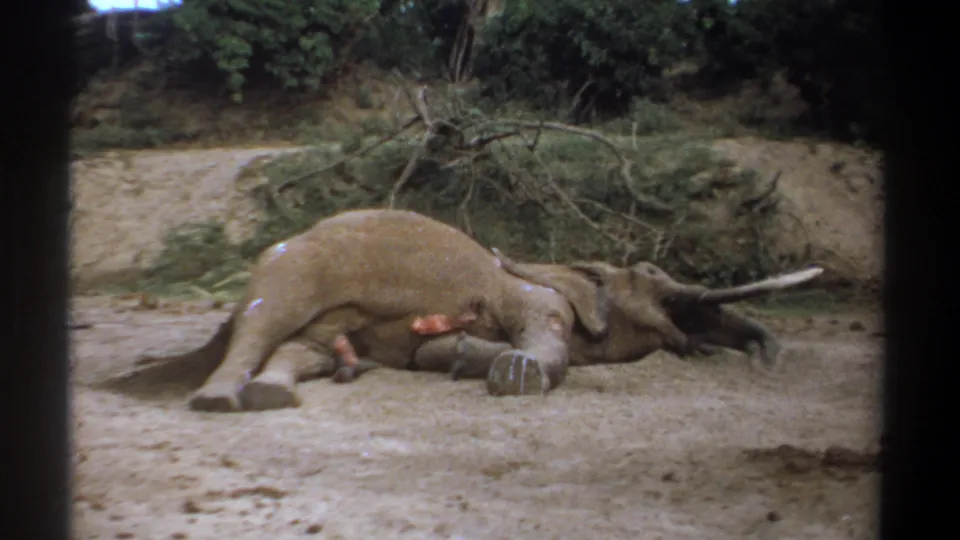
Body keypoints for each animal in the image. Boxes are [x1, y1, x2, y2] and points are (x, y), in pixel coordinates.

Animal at [146, 208, 821, 413]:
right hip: (295, 267)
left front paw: (457, 356)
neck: (570, 265)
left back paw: (281, 392)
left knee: (303, 347)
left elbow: (433, 351)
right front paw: (514, 375)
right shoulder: (538, 295)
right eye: (653, 276)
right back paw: (218, 399)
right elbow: (546, 336)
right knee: (264, 322)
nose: (764, 364)